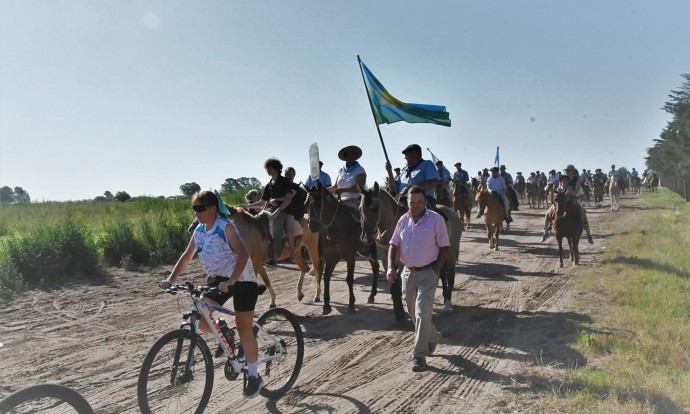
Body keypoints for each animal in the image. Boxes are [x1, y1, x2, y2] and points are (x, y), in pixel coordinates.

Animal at [306, 185, 382, 314]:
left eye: (318, 204)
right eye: (306, 204)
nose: (311, 227)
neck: (338, 227)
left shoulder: (350, 256)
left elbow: (349, 279)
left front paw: (351, 304)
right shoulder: (331, 257)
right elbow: (326, 277)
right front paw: (326, 305)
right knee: (375, 266)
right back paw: (372, 295)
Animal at [358, 183, 460, 316]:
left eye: (374, 208)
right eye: (360, 209)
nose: (366, 238)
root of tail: (453, 213)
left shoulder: (401, 261)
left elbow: (396, 285)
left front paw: (400, 313)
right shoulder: (386, 259)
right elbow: (393, 281)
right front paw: (399, 309)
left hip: (451, 251)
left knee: (450, 276)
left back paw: (447, 304)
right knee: (441, 273)